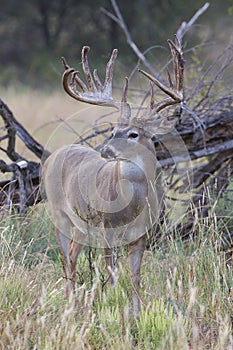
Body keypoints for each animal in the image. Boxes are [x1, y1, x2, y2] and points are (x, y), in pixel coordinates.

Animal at [41, 38, 184, 318]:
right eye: (113, 130)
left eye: (133, 134)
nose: (105, 149)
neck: (131, 205)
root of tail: (53, 156)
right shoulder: (106, 227)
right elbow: (111, 269)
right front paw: (111, 305)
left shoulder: (141, 234)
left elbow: (136, 274)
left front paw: (137, 314)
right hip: (59, 214)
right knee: (66, 257)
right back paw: (69, 303)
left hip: (81, 224)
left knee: (72, 253)